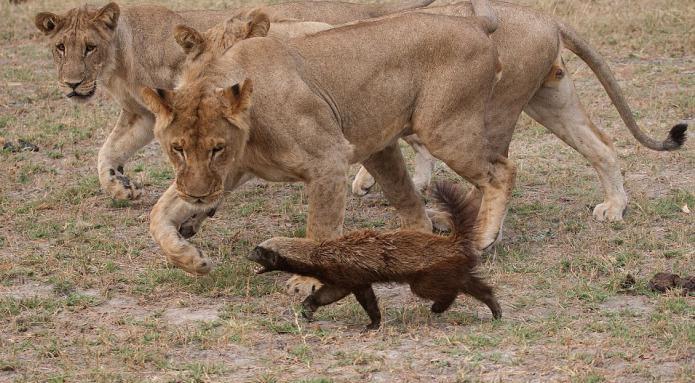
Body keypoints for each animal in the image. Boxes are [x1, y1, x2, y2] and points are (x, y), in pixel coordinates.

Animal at [34, 0, 436, 201]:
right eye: (60, 47)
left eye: (90, 47)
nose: (72, 84)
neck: (120, 58)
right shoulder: (143, 116)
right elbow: (108, 152)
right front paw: (119, 187)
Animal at [141, 5, 508, 280]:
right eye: (177, 149)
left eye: (217, 149)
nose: (197, 196)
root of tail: (472, 22)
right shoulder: (227, 172)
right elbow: (159, 212)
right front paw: (190, 259)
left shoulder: (329, 159)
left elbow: (320, 229)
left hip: (444, 129)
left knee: (501, 171)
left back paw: (483, 237)